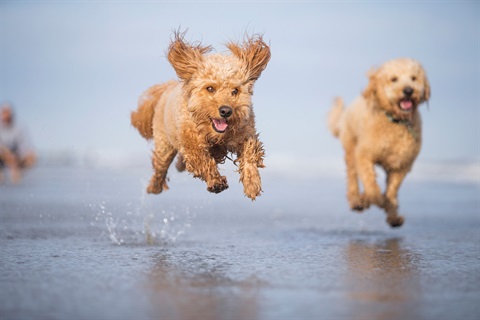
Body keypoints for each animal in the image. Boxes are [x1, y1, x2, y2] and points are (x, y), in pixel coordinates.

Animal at [131, 31, 270, 199]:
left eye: (235, 91)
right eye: (210, 88)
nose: (226, 111)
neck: (216, 135)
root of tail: (168, 87)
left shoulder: (245, 132)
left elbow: (250, 154)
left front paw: (252, 183)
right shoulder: (192, 142)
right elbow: (202, 160)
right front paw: (216, 181)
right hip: (164, 143)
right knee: (161, 167)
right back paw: (154, 187)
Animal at [328, 58, 430, 228]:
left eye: (414, 78)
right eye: (394, 79)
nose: (408, 90)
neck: (395, 121)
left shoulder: (401, 165)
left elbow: (392, 190)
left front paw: (392, 212)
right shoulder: (364, 155)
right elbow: (371, 185)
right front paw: (370, 199)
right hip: (350, 147)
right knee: (352, 175)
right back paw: (356, 200)